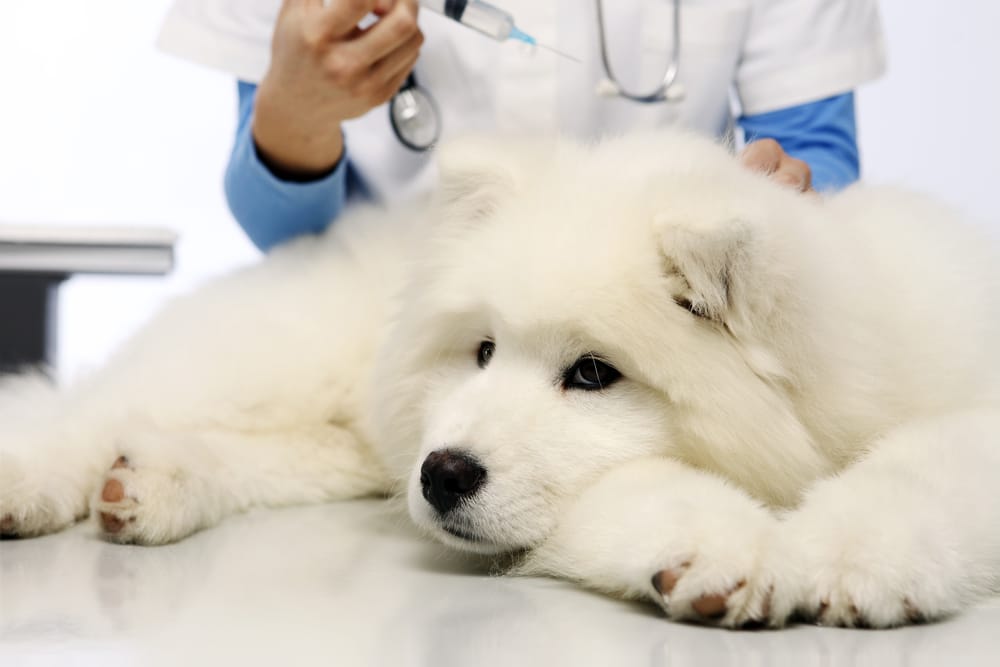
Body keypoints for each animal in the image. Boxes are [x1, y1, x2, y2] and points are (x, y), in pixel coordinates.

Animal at [1, 132, 1000, 632]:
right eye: (481, 351)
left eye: (593, 373)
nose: (442, 473)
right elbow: (646, 489)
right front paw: (722, 550)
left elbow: (928, 464)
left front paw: (851, 559)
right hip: (271, 364)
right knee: (84, 402)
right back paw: (35, 482)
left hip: (347, 445)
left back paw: (150, 485)